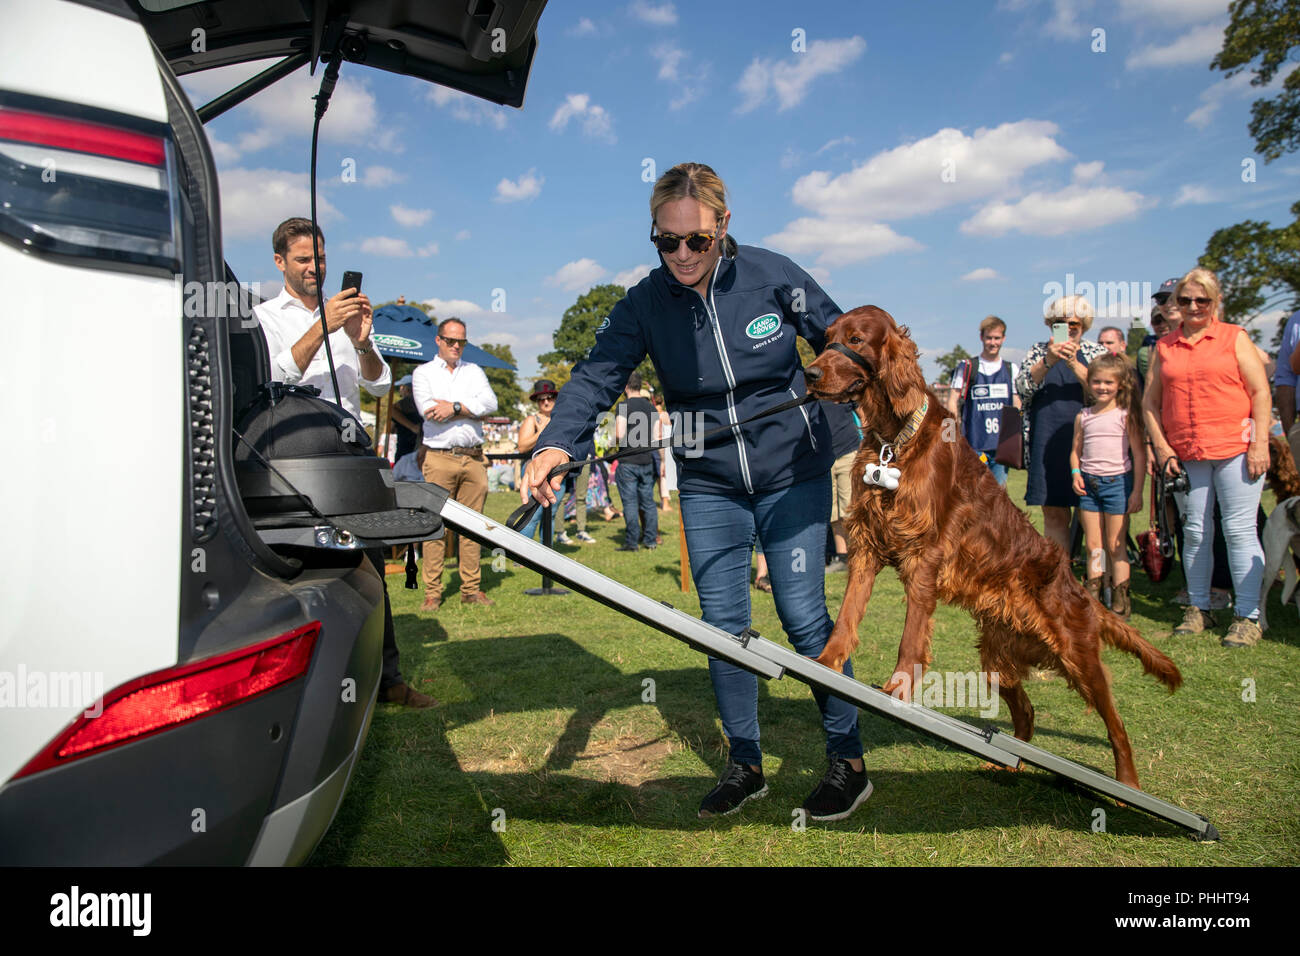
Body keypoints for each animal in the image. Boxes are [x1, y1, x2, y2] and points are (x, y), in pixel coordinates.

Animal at [800, 308, 1180, 790]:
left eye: (855, 339)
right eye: (827, 337)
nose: (809, 374)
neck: (895, 438)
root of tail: (1077, 586)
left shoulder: (925, 555)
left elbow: (910, 639)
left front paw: (897, 689)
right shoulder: (867, 545)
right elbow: (847, 615)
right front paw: (826, 661)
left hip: (1079, 656)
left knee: (1116, 725)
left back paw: (1126, 783)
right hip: (1000, 658)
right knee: (1027, 713)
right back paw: (1003, 763)